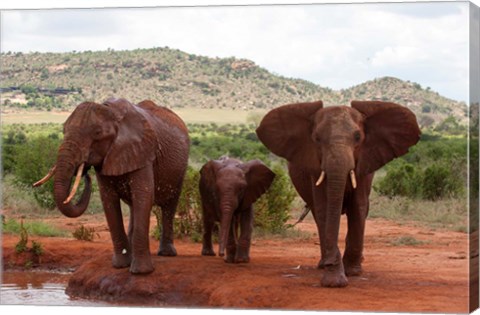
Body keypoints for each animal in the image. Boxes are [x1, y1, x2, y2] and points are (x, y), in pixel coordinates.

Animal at [33, 97, 189, 276]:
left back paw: (167, 253)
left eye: (97, 133)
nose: (85, 172)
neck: (110, 111)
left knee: (169, 206)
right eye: (64, 131)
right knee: (134, 207)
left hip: (180, 170)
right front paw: (120, 266)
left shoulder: (142, 152)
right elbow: (109, 200)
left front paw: (141, 272)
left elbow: (143, 195)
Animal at [255, 100, 420, 288]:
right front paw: (334, 280)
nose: (330, 262)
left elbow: (358, 207)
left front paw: (353, 272)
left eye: (358, 137)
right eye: (317, 139)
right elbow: (325, 208)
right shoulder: (315, 168)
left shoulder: (364, 165)